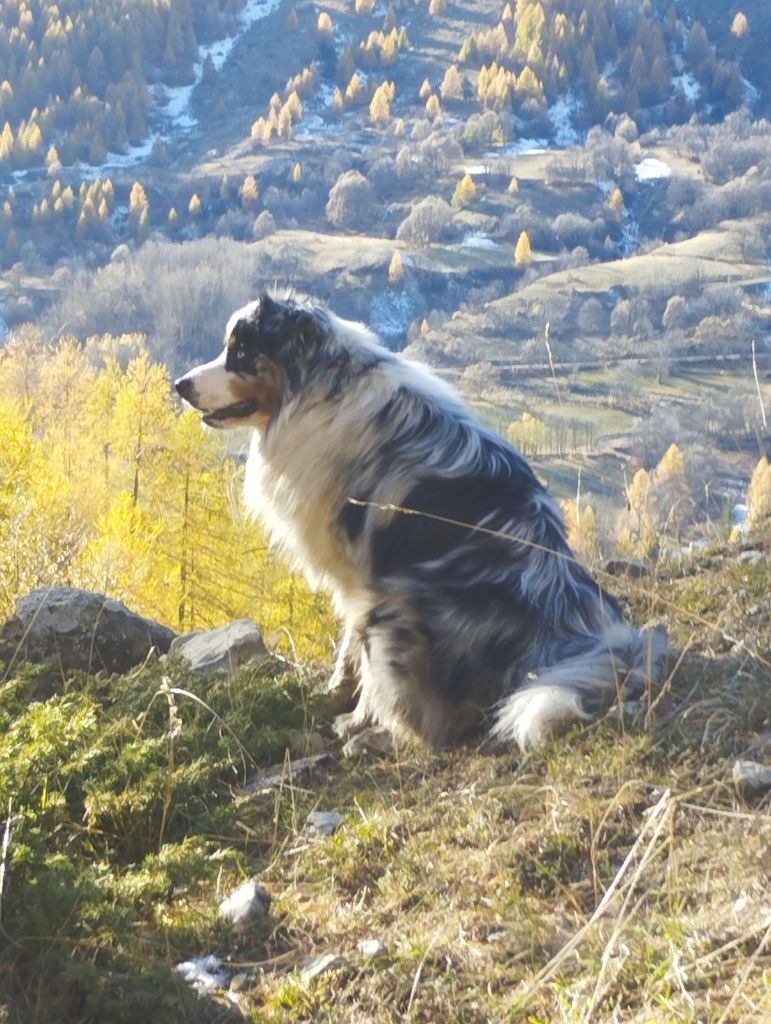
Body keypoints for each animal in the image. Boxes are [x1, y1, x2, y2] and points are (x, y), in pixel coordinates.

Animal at [175, 291, 662, 750]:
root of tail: (565, 636)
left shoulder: (361, 578)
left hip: (395, 607)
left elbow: (357, 654)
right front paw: (333, 696)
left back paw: (378, 735)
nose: (179, 384)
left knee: (435, 725)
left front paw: (355, 716)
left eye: (241, 351)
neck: (324, 389)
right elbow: (349, 651)